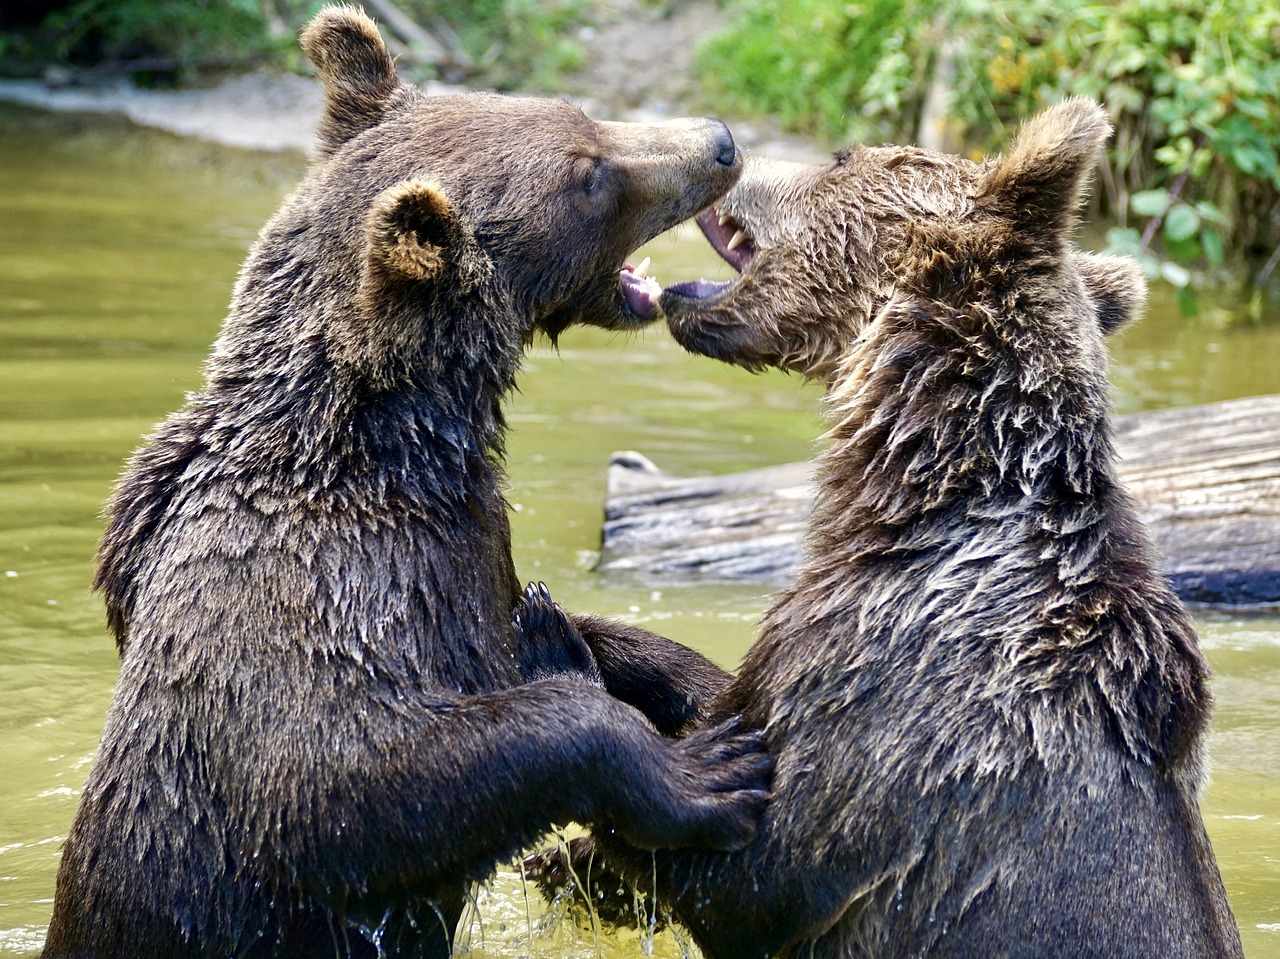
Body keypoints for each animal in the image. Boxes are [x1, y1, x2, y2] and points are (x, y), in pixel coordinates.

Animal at [40, 7, 768, 957]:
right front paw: (708, 771)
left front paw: (699, 683)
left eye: (581, 113)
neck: (398, 444)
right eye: (589, 174)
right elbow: (351, 778)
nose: (720, 142)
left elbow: (569, 625)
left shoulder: (460, 558)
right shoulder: (319, 586)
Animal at [524, 99, 1244, 957]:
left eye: (840, 156)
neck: (918, 486)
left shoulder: (892, 700)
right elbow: (719, 705)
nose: (734, 150)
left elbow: (749, 864)